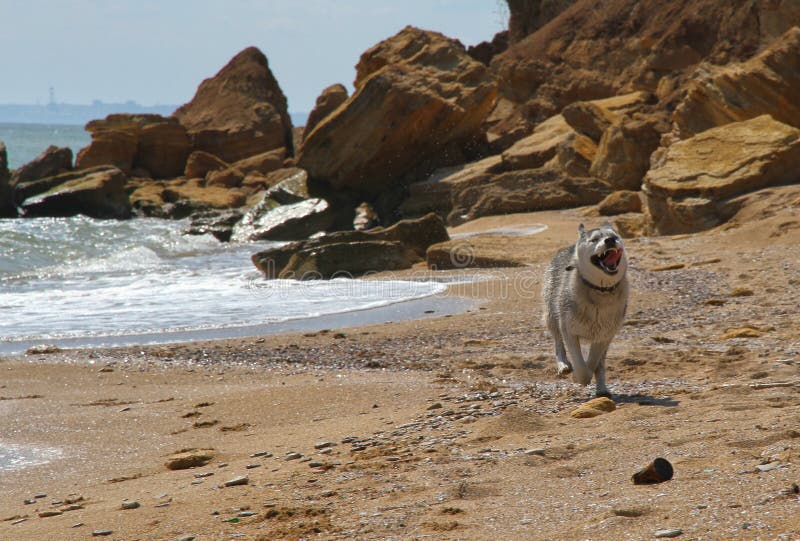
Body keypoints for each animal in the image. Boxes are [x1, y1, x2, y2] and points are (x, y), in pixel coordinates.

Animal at [544, 221, 632, 394]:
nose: (610, 240)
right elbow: (580, 364)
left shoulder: (604, 335)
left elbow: (594, 362)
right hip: (551, 315)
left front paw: (590, 375)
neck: (600, 291)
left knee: (601, 363)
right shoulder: (568, 330)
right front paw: (578, 377)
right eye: (594, 239)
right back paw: (563, 365)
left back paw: (602, 388)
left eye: (615, 236)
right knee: (558, 342)